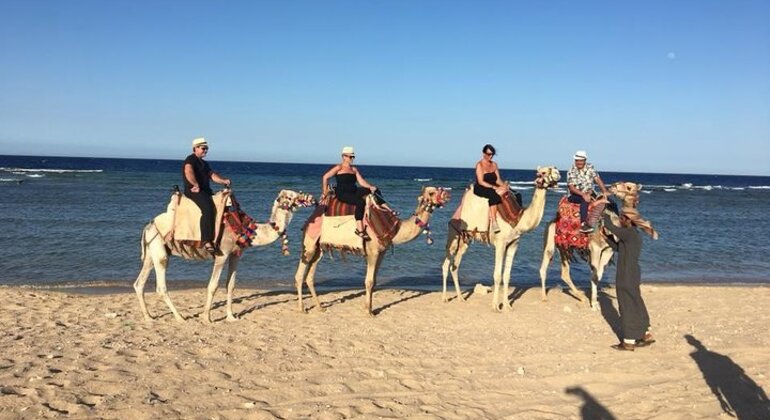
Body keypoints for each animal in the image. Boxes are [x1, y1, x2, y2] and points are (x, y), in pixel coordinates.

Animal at [134, 189, 315, 323]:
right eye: (290, 196)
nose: (310, 198)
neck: (246, 229)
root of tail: (148, 225)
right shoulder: (222, 254)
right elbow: (213, 286)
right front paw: (207, 318)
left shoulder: (236, 254)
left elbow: (230, 285)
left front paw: (231, 317)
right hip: (160, 251)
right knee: (160, 286)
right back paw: (180, 317)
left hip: (152, 253)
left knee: (139, 283)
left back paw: (148, 317)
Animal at [294, 186, 451, 315]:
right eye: (431, 192)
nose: (448, 194)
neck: (394, 228)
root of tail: (309, 219)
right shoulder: (373, 251)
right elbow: (368, 281)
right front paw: (368, 312)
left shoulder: (382, 253)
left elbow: (374, 281)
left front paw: (369, 308)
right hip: (309, 242)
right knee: (300, 274)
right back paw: (302, 309)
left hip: (319, 248)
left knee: (310, 275)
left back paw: (320, 307)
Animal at [441, 166, 562, 311]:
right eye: (543, 172)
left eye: (553, 168)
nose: (558, 173)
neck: (518, 219)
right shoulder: (500, 243)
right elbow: (497, 275)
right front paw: (495, 306)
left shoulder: (514, 243)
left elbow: (507, 275)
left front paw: (507, 306)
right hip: (453, 234)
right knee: (446, 263)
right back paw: (444, 298)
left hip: (466, 240)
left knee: (455, 266)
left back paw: (460, 298)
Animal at [538, 181, 657, 310]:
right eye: (626, 185)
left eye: (629, 187)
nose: (614, 185)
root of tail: (553, 219)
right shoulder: (595, 247)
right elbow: (595, 275)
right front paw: (594, 304)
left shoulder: (608, 250)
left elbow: (598, 274)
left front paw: (593, 297)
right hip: (553, 242)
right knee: (545, 266)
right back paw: (544, 297)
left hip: (564, 247)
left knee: (564, 272)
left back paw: (581, 297)